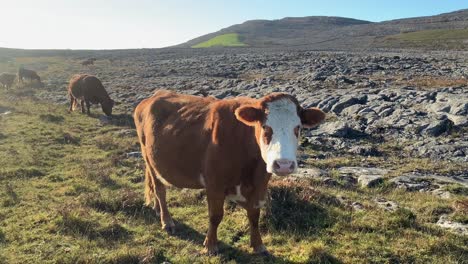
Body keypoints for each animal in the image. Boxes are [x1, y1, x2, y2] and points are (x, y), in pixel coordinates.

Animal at [133, 89, 326, 255]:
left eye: (298, 127)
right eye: (265, 127)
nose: (283, 164)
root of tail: (153, 96)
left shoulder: (259, 186)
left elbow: (254, 216)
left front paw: (258, 245)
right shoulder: (214, 184)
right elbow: (215, 216)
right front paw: (210, 245)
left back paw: (157, 210)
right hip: (149, 158)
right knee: (160, 190)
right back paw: (167, 221)